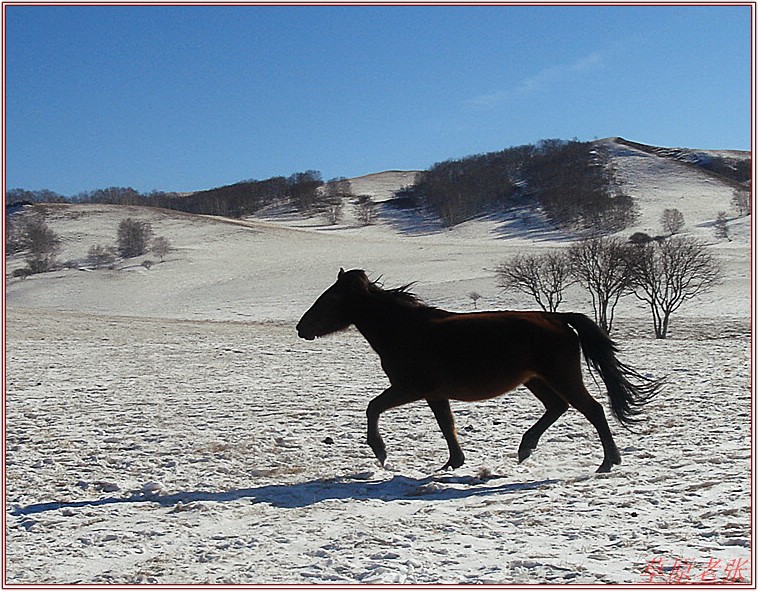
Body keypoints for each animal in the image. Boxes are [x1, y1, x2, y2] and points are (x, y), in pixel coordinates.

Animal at [296, 270, 660, 474]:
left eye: (331, 299)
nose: (301, 328)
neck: (406, 330)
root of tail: (557, 318)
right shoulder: (434, 393)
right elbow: (447, 425)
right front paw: (453, 462)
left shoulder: (410, 388)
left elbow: (373, 408)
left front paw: (380, 451)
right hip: (536, 380)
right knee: (558, 407)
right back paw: (525, 448)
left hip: (561, 377)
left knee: (593, 410)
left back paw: (608, 462)